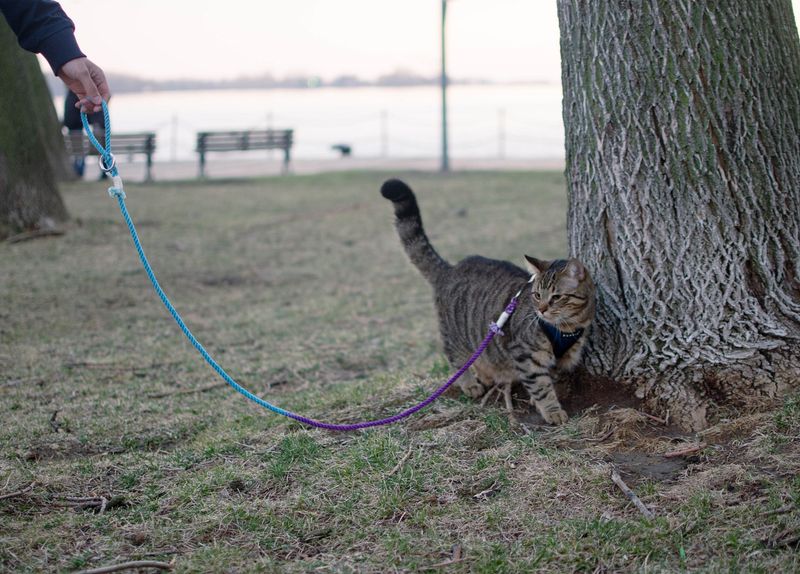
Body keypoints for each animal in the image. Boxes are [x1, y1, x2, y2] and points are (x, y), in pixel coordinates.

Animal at [382, 181, 592, 428]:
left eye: (556, 297)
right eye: (537, 295)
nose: (541, 310)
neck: (568, 327)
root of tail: (450, 269)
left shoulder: (562, 356)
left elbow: (554, 376)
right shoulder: (524, 354)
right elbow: (541, 386)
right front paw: (552, 411)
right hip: (455, 336)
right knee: (457, 360)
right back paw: (470, 383)